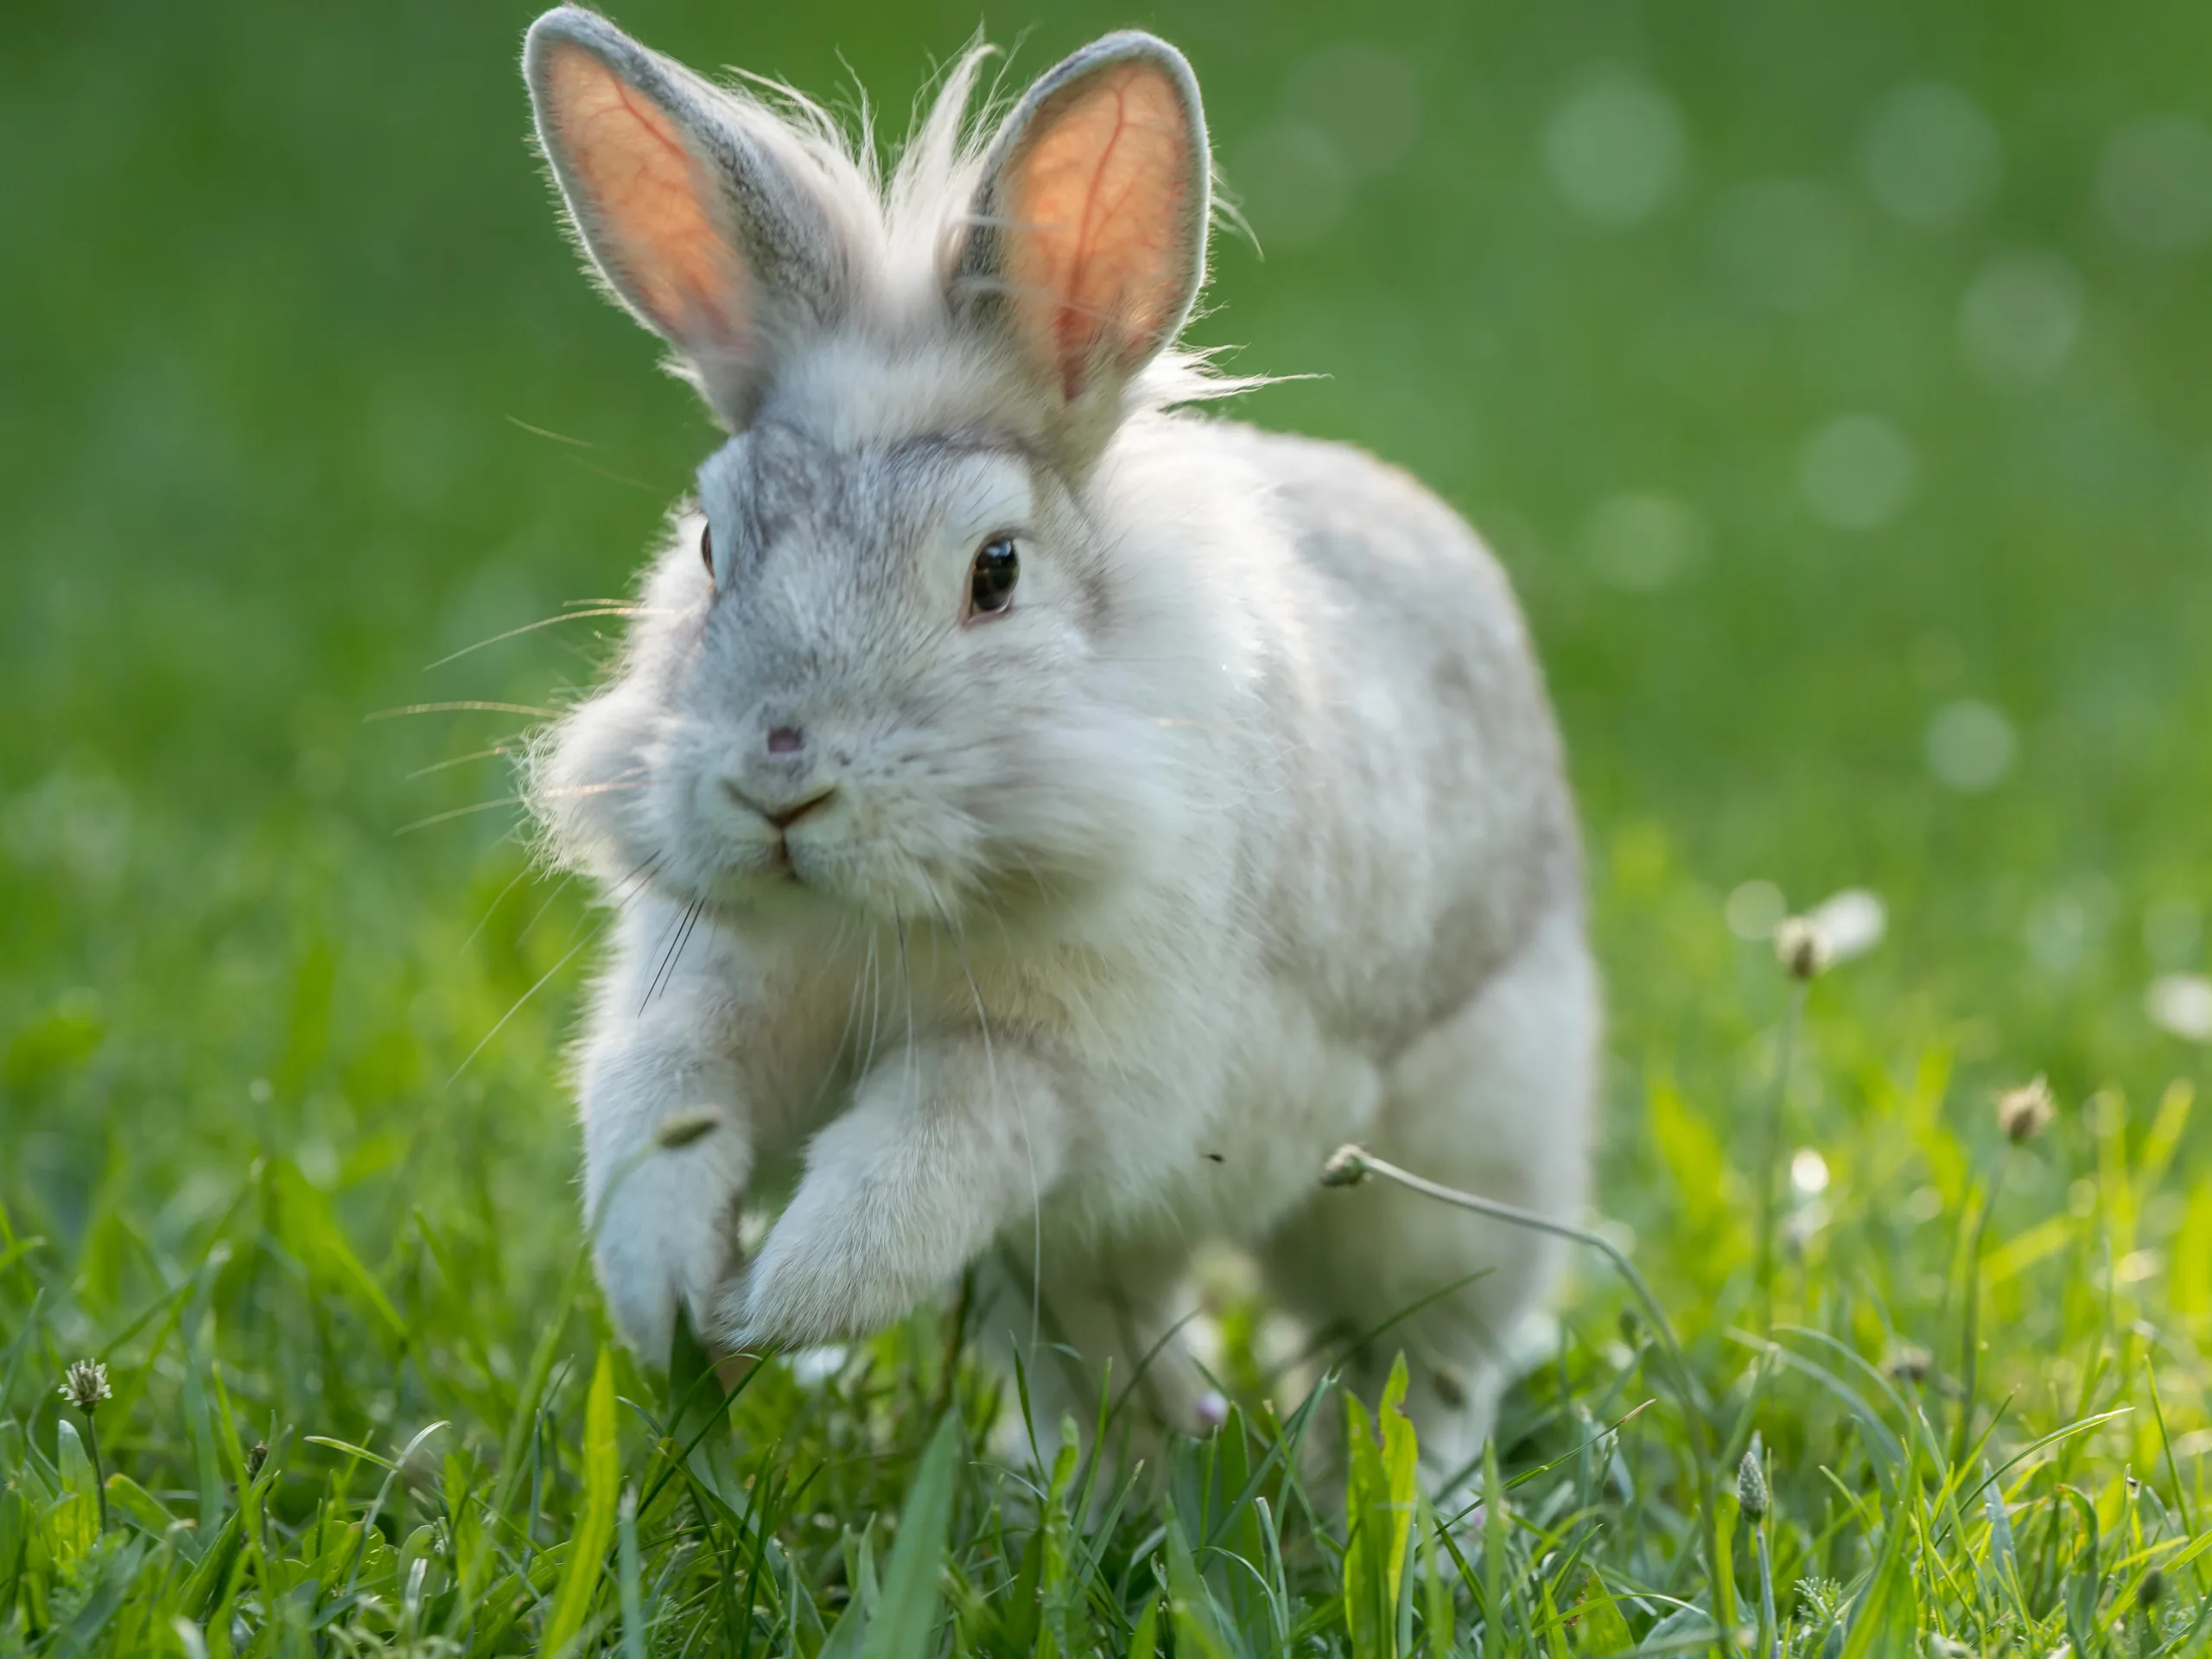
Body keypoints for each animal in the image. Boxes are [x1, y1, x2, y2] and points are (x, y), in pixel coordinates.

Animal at [518, 5, 1597, 1489]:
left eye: (996, 570)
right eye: (712, 547)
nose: (781, 783)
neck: (884, 920)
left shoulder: (1069, 1076)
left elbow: (938, 1141)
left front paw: (787, 1297)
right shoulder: (708, 991)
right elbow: (661, 1112)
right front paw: (677, 1297)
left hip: (1455, 1180)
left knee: (1420, 1371)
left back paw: (1390, 1505)